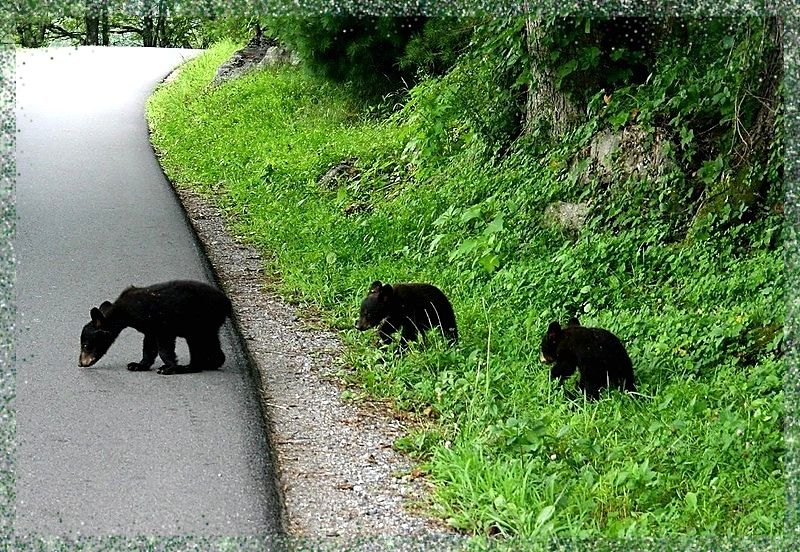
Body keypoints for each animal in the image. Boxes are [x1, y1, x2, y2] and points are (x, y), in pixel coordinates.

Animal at [79, 280, 232, 375]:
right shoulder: (149, 328)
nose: (81, 363)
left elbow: (164, 348)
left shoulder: (161, 324)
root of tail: (226, 303)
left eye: (85, 345)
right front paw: (138, 365)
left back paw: (189, 367)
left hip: (199, 323)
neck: (124, 313)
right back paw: (211, 363)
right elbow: (149, 346)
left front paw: (169, 368)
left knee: (197, 344)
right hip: (209, 326)